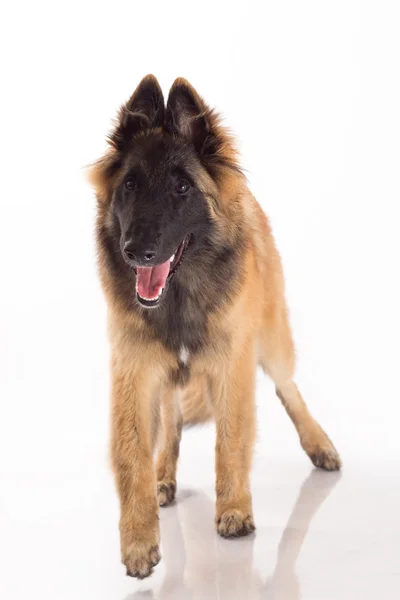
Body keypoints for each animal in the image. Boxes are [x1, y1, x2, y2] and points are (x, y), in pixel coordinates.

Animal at [88, 72, 340, 580]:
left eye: (182, 188)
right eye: (129, 185)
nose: (136, 251)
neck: (179, 298)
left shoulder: (232, 365)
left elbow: (232, 440)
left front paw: (235, 510)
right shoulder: (134, 372)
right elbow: (132, 453)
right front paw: (139, 539)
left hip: (271, 340)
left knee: (287, 386)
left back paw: (319, 444)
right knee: (172, 420)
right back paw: (164, 476)